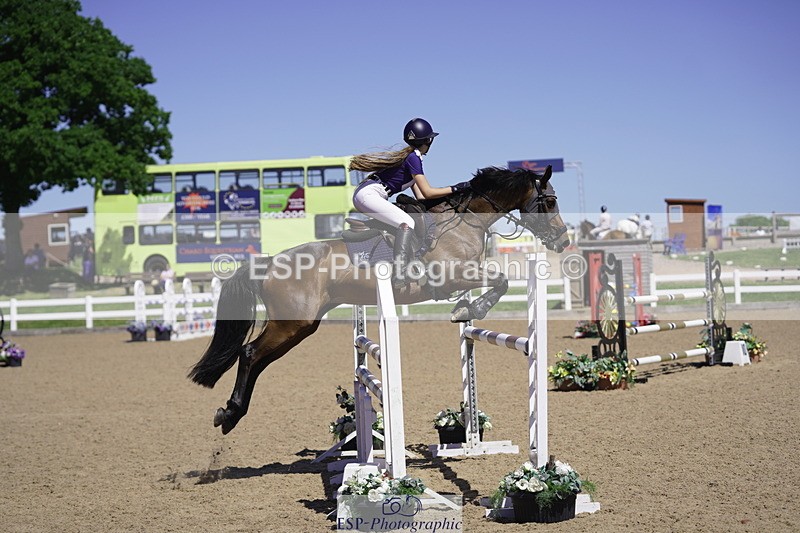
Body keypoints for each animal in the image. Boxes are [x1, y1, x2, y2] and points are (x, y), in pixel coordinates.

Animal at [188, 165, 569, 435]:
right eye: (550, 201)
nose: (563, 241)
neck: (465, 222)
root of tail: (269, 262)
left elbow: (497, 282)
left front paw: (465, 309)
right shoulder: (452, 276)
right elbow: (501, 280)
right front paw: (471, 308)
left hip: (301, 326)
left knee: (258, 360)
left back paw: (231, 412)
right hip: (291, 323)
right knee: (250, 354)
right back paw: (230, 414)